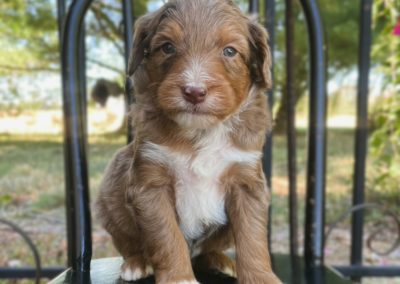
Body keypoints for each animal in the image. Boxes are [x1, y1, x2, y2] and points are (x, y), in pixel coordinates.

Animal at [95, 1, 280, 282]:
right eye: (168, 47)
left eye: (230, 51)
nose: (194, 92)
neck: (201, 131)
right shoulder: (150, 182)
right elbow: (167, 237)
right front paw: (179, 277)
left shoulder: (246, 180)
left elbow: (252, 238)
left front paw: (261, 277)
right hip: (111, 200)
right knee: (129, 243)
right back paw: (136, 263)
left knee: (208, 251)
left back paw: (220, 260)